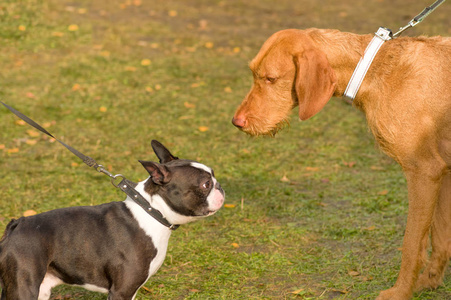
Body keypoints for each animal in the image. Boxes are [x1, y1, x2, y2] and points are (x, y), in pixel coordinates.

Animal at [0, 141, 225, 300]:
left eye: (213, 177)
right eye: (205, 184)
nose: (220, 186)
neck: (152, 212)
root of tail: (16, 224)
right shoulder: (122, 291)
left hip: (40, 288)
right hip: (24, 286)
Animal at [233, 27, 451, 298]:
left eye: (270, 79)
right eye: (253, 73)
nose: (236, 121)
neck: (374, 70)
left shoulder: (424, 171)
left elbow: (411, 244)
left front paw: (400, 293)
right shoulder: (444, 172)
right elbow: (440, 236)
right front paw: (429, 281)